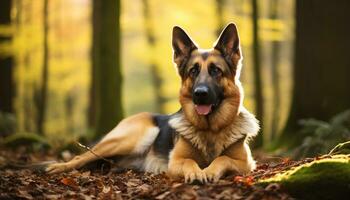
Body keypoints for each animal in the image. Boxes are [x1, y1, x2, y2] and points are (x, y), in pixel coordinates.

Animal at [45, 23, 258, 183]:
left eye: (216, 71)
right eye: (193, 71)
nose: (200, 94)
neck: (210, 130)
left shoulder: (245, 163)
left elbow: (223, 158)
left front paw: (209, 170)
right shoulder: (176, 161)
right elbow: (190, 162)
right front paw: (196, 172)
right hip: (132, 138)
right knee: (80, 156)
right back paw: (57, 167)